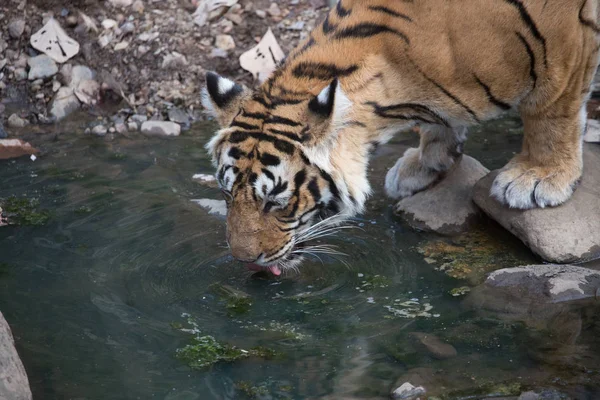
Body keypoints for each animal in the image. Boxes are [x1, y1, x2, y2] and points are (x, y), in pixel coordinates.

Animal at [202, 0, 600, 276]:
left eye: (276, 203)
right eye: (226, 194)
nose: (243, 260)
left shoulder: (562, 45)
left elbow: (551, 112)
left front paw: (540, 176)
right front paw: (427, 162)